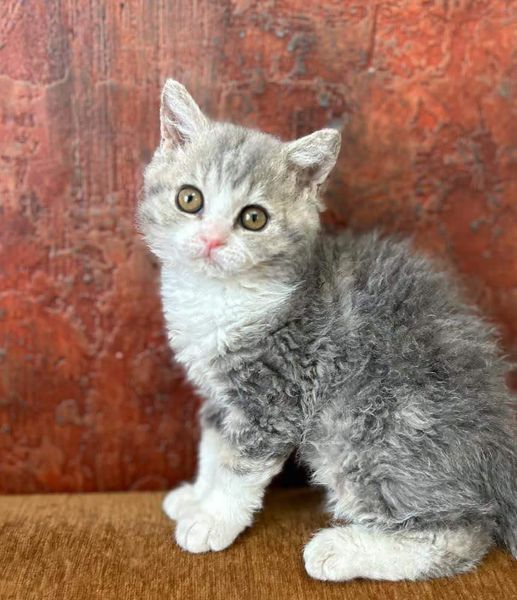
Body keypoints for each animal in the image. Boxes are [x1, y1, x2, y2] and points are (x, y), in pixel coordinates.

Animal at [138, 79, 516, 580]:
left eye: (253, 218)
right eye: (189, 198)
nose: (212, 240)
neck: (222, 297)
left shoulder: (276, 392)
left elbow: (239, 466)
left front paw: (213, 520)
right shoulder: (220, 389)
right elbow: (214, 443)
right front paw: (197, 497)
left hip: (364, 430)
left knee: (465, 532)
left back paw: (342, 549)